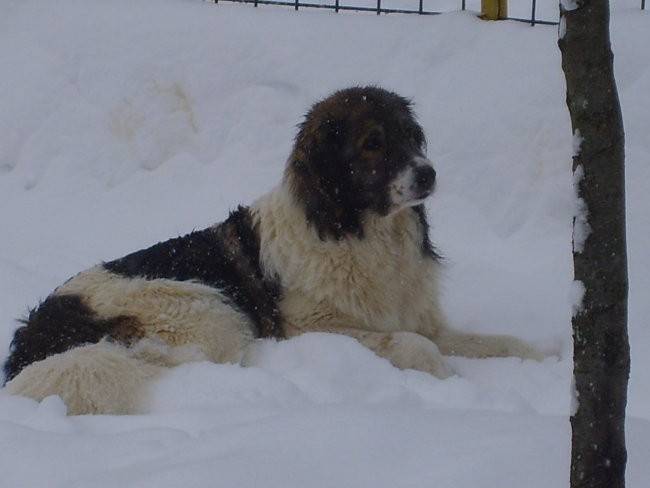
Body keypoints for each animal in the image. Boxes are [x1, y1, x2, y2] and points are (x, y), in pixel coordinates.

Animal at [2, 86, 540, 414]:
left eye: (411, 136)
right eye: (372, 143)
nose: (428, 173)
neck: (359, 233)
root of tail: (36, 329)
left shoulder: (423, 319)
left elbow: (496, 341)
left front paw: (540, 355)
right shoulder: (311, 328)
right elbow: (413, 344)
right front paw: (450, 381)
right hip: (206, 308)